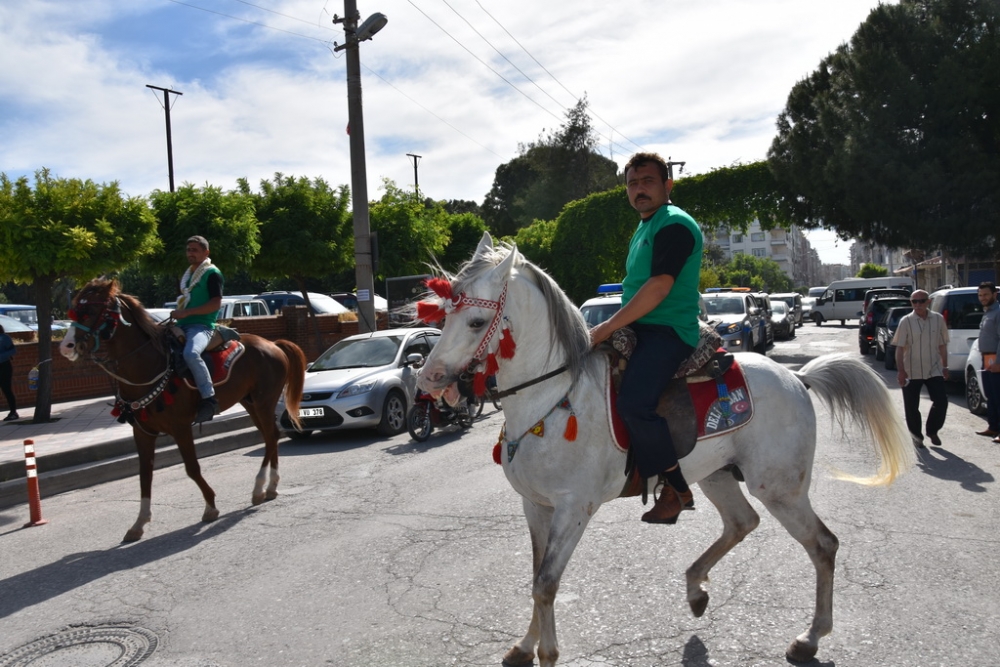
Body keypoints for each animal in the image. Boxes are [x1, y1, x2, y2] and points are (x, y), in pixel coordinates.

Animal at [61, 278, 304, 544]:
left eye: (91, 310)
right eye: (73, 310)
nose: (66, 346)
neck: (148, 365)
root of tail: (274, 344)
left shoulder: (180, 427)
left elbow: (192, 468)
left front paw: (210, 506)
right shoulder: (143, 432)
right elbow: (144, 474)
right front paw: (139, 523)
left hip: (263, 402)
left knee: (271, 437)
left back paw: (262, 487)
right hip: (250, 403)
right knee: (270, 436)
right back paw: (268, 488)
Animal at [414, 232, 916, 664]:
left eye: (477, 321)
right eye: (443, 317)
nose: (429, 379)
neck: (551, 396)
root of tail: (797, 377)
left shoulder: (574, 508)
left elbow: (547, 583)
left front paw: (548, 653)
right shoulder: (535, 505)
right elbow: (535, 577)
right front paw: (524, 645)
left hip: (780, 488)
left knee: (823, 545)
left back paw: (810, 637)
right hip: (717, 474)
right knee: (742, 522)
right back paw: (696, 587)